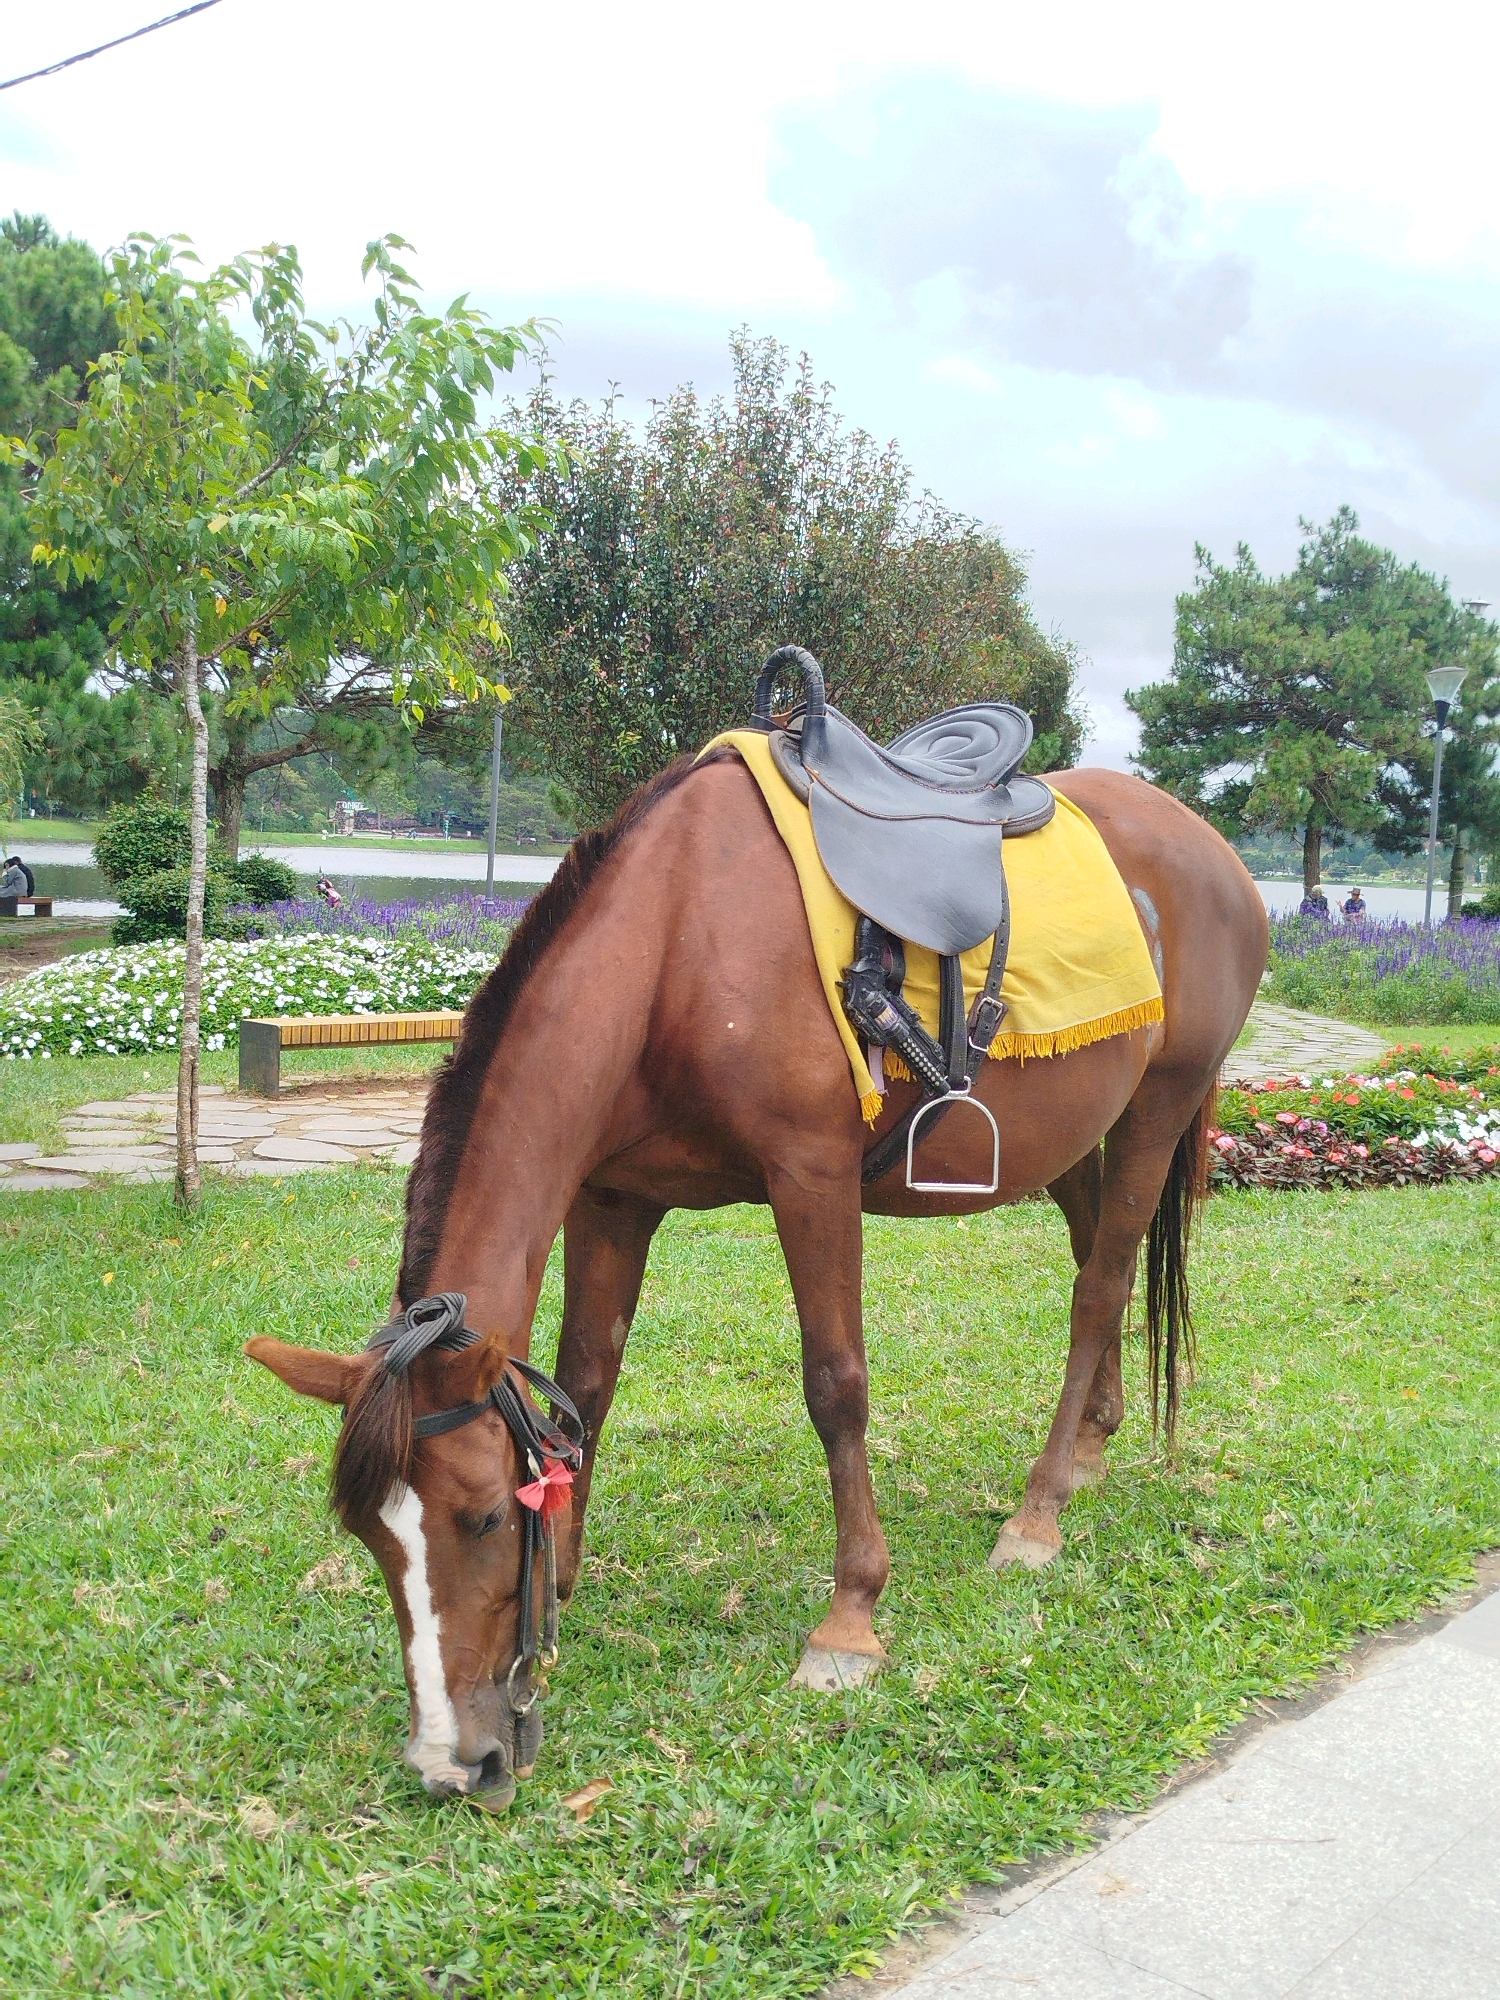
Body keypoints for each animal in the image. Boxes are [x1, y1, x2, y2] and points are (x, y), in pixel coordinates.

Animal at [248, 745, 1268, 1808]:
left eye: (482, 1517)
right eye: (369, 1536)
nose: (451, 1764)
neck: (672, 947)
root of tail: (1210, 851)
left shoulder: (809, 1177)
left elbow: (836, 1386)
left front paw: (851, 1618)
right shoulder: (612, 1200)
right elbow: (587, 1390)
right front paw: (566, 1581)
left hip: (1159, 1104)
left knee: (1099, 1289)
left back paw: (1038, 1514)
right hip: (1071, 1135)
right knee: (1098, 1260)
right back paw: (1087, 1451)